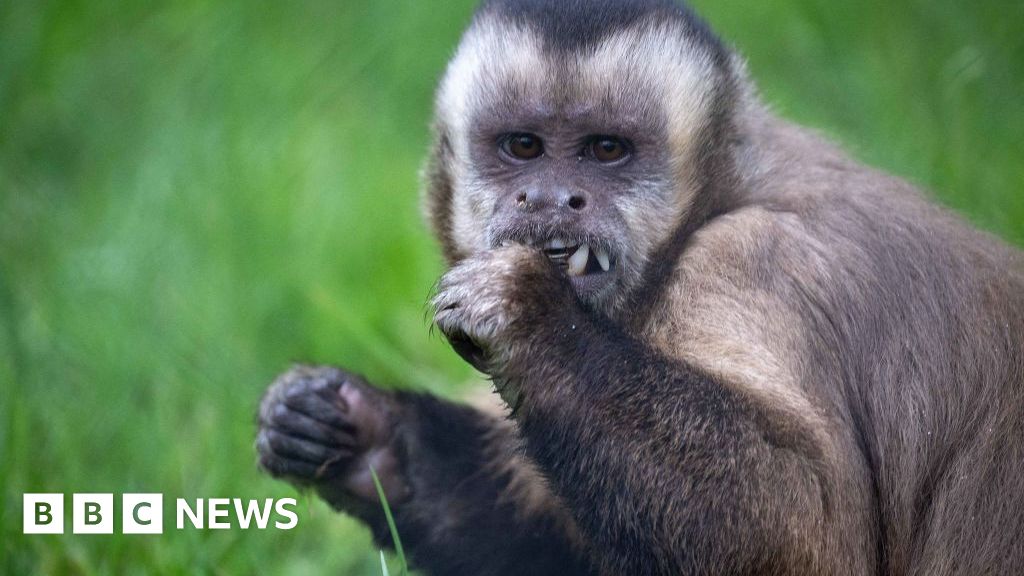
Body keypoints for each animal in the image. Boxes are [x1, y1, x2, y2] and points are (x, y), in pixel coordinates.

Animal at [255, 0, 1024, 574]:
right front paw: (364, 437)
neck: (719, 201)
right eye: (524, 147)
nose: (551, 198)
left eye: (606, 150)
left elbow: (804, 534)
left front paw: (525, 315)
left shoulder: (758, 260)